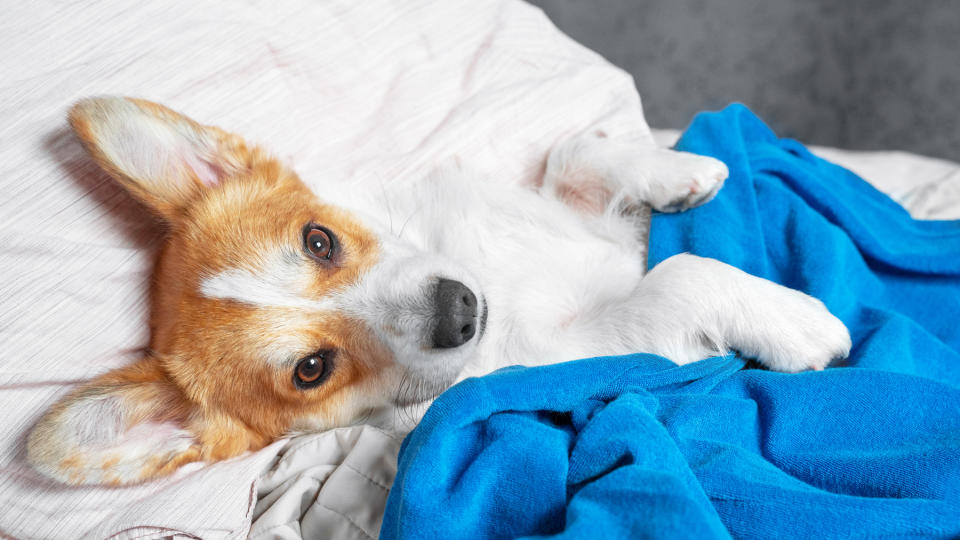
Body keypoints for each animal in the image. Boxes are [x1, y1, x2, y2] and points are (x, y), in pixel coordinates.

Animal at [24, 96, 848, 486]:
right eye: (311, 370)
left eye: (318, 240)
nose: (461, 309)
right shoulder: (585, 347)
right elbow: (681, 275)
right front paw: (800, 323)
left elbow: (572, 152)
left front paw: (685, 172)